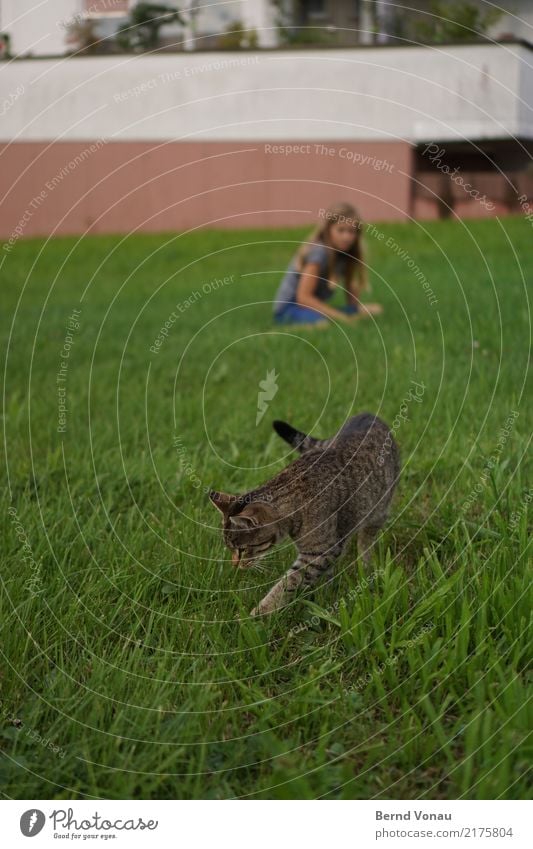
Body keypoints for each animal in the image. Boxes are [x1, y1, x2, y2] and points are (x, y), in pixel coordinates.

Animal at [208, 412, 400, 616]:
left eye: (242, 550)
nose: (234, 565)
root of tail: (369, 415)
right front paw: (323, 592)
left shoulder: (320, 551)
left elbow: (288, 583)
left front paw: (259, 613)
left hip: (379, 510)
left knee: (366, 542)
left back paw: (365, 566)